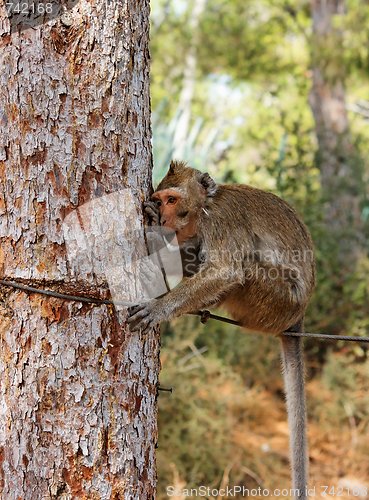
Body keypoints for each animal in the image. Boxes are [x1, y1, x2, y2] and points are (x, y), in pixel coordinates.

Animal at [126, 159, 314, 496]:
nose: (164, 216)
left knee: (245, 264)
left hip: (276, 301)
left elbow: (226, 270)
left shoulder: (221, 220)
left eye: (172, 200)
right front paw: (154, 226)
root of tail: (299, 315)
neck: (205, 207)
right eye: (160, 200)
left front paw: (159, 307)